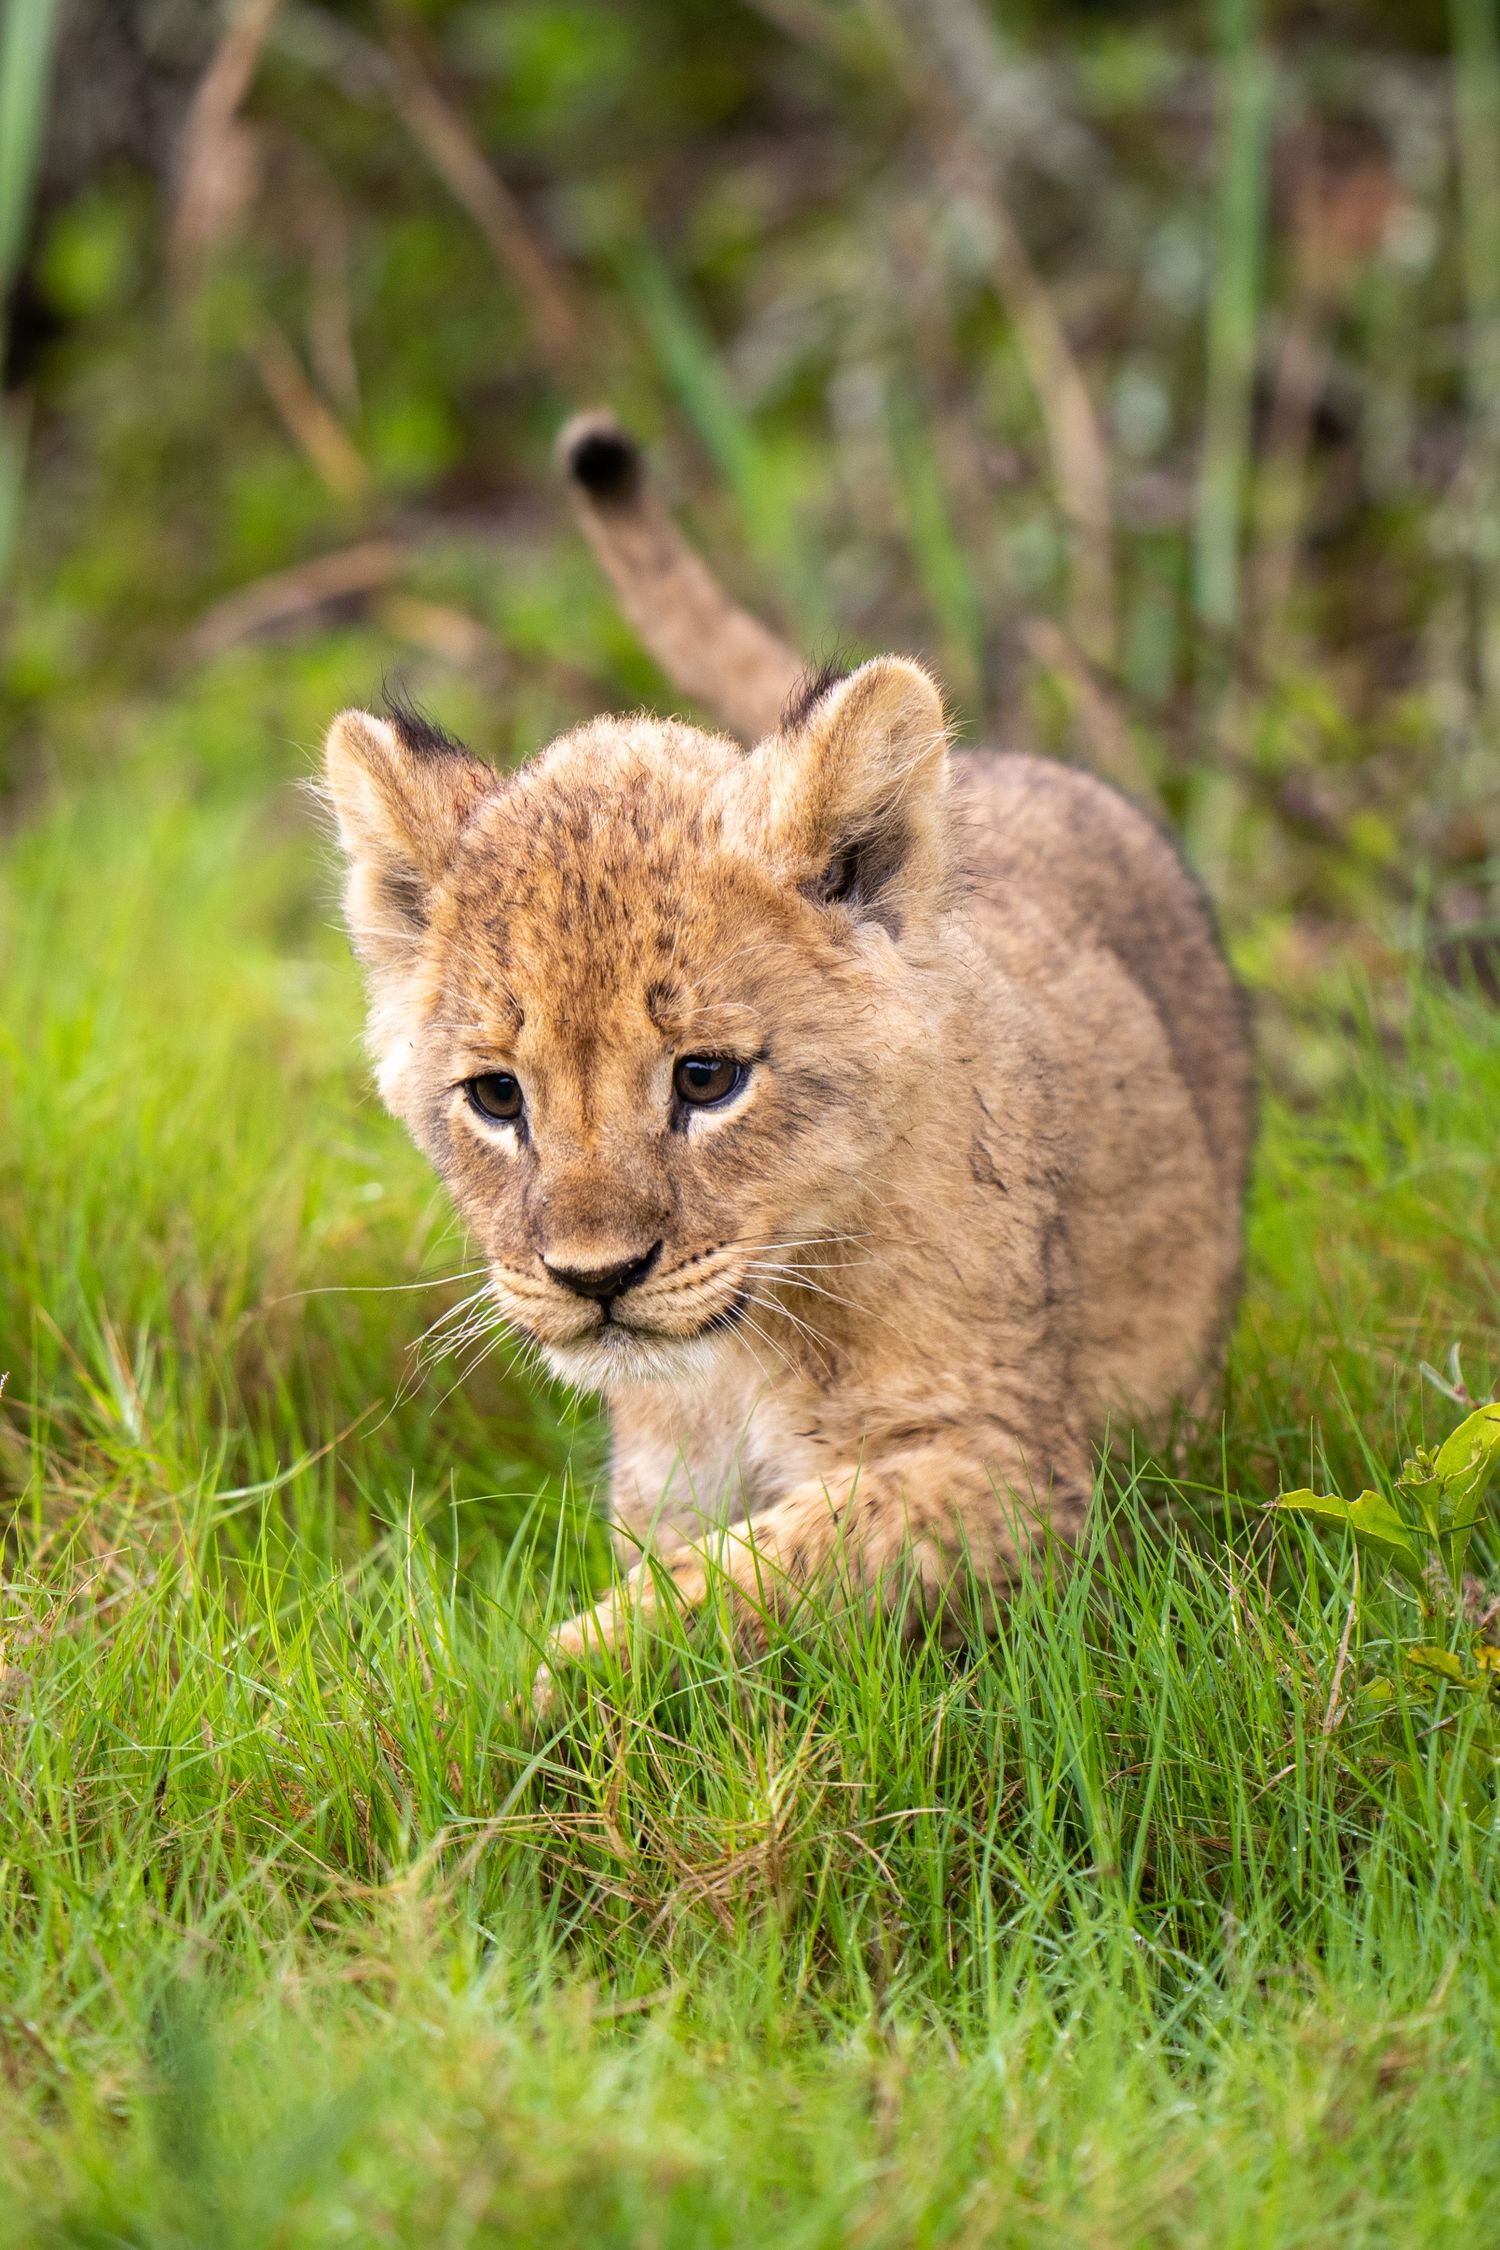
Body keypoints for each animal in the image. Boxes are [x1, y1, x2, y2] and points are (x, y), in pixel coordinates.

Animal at [322, 415, 1253, 1701]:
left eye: (706, 1080)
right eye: (497, 1097)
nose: (593, 1280)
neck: (735, 1364)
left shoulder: (1017, 1465)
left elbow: (746, 1582)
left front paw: (488, 1702)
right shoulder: (662, 1488)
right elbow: (696, 1573)